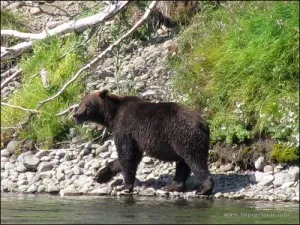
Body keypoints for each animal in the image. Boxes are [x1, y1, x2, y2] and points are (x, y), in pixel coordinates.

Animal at [72, 89, 213, 194]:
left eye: (88, 104)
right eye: (80, 103)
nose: (76, 115)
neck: (112, 116)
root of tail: (204, 124)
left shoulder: (126, 128)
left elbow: (127, 156)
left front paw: (126, 185)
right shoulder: (135, 138)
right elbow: (127, 157)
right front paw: (100, 175)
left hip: (184, 136)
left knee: (195, 161)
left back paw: (204, 188)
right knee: (183, 164)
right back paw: (173, 186)